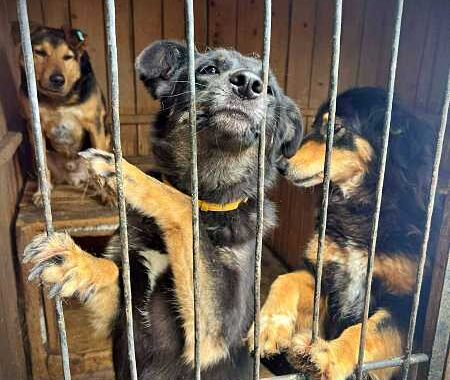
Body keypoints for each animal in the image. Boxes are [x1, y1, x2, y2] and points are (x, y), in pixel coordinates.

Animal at [19, 24, 112, 205]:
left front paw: (107, 195)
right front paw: (42, 193)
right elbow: (42, 168)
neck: (60, 99)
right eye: (40, 52)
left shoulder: (95, 125)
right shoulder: (34, 127)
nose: (57, 79)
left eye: (68, 57)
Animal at [21, 40, 302, 378]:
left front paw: (124, 171)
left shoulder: (214, 334)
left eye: (269, 90)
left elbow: (179, 201)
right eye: (209, 69)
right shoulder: (118, 317)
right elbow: (113, 271)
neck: (208, 201)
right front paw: (75, 260)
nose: (248, 84)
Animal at [248, 86, 438, 380]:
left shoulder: (406, 309)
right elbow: (286, 279)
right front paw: (268, 325)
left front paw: (328, 355)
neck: (361, 209)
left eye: (335, 127)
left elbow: (369, 330)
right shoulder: (324, 276)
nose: (279, 164)